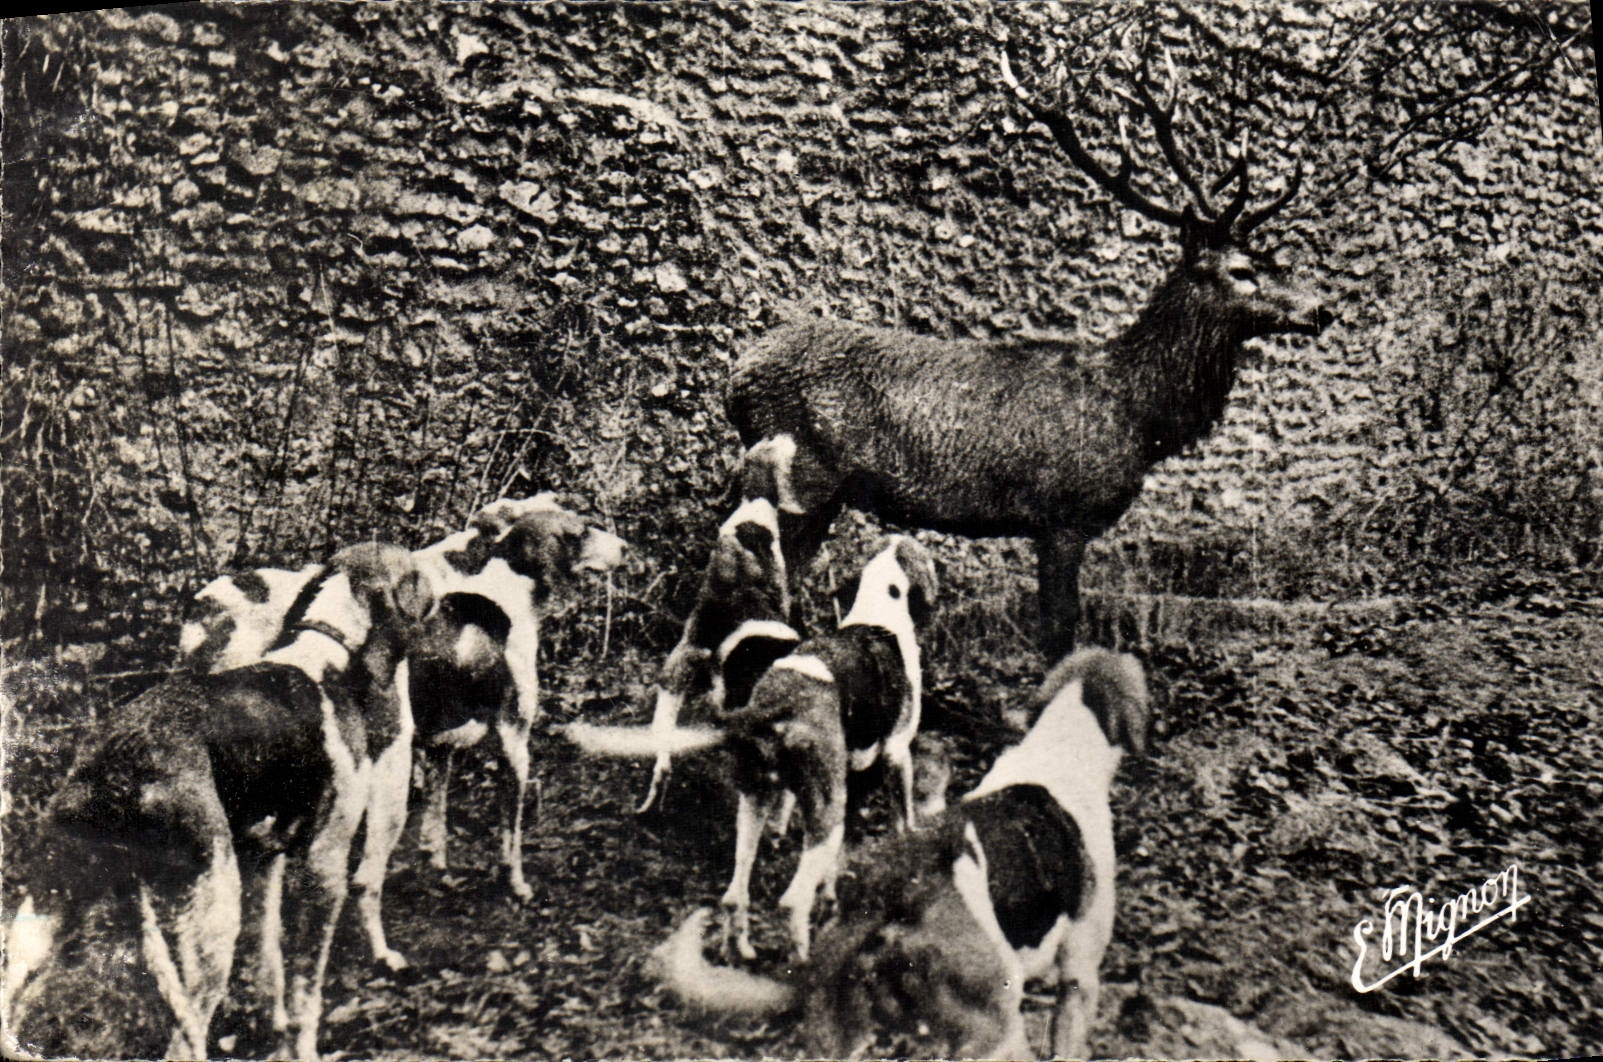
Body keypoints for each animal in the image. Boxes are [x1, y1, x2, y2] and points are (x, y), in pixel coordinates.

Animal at [722, 46, 1333, 658]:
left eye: (1274, 260)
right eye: (1243, 270)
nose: (1321, 309)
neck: (1141, 417)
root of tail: (735, 378)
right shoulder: (1062, 515)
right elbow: (1059, 630)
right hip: (803, 475)